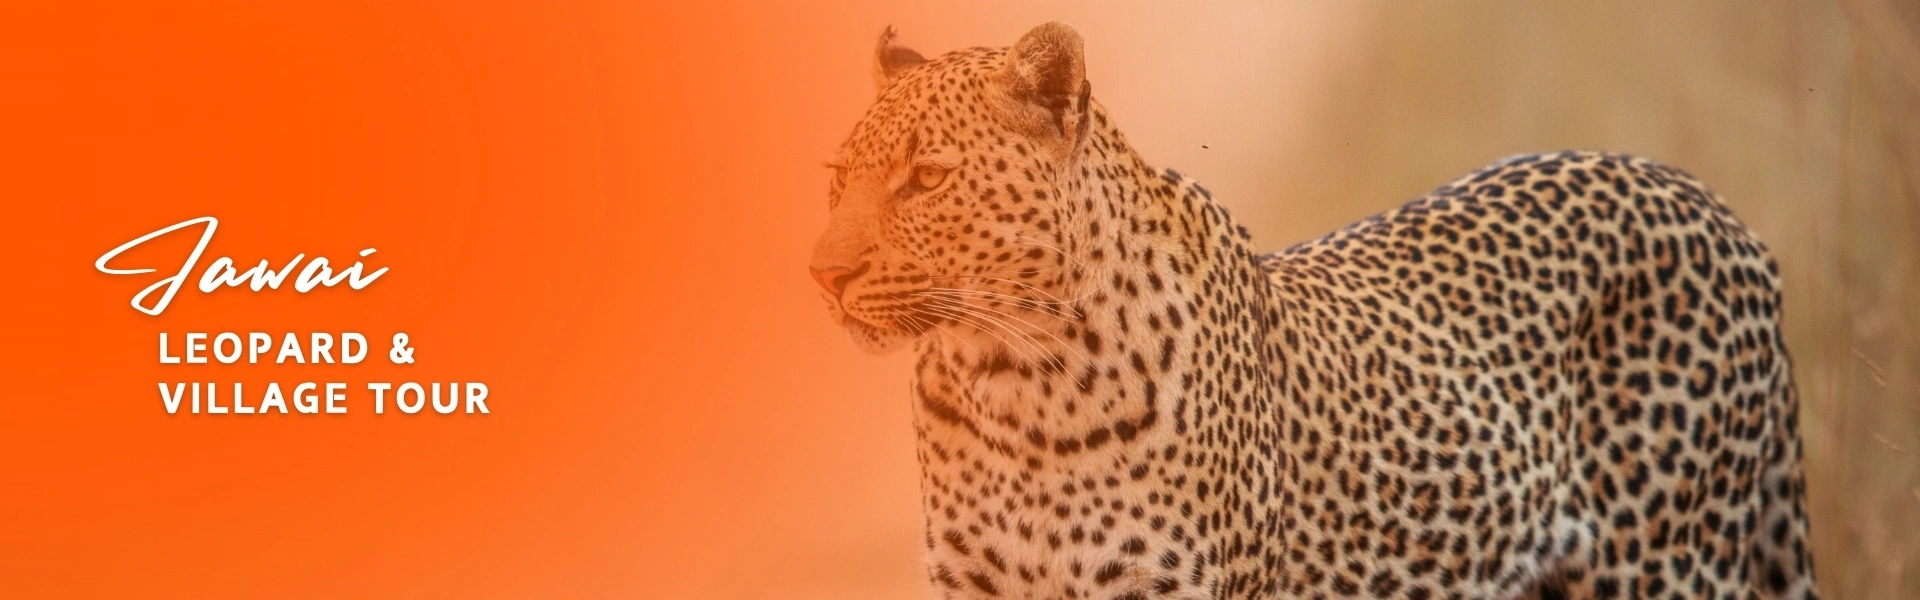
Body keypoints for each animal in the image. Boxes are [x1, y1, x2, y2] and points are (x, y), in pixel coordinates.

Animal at [807, 22, 1816, 600]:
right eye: (840, 178)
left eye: (925, 179)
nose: (823, 274)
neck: (1014, 382)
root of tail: (1717, 207)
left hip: (1672, 562)